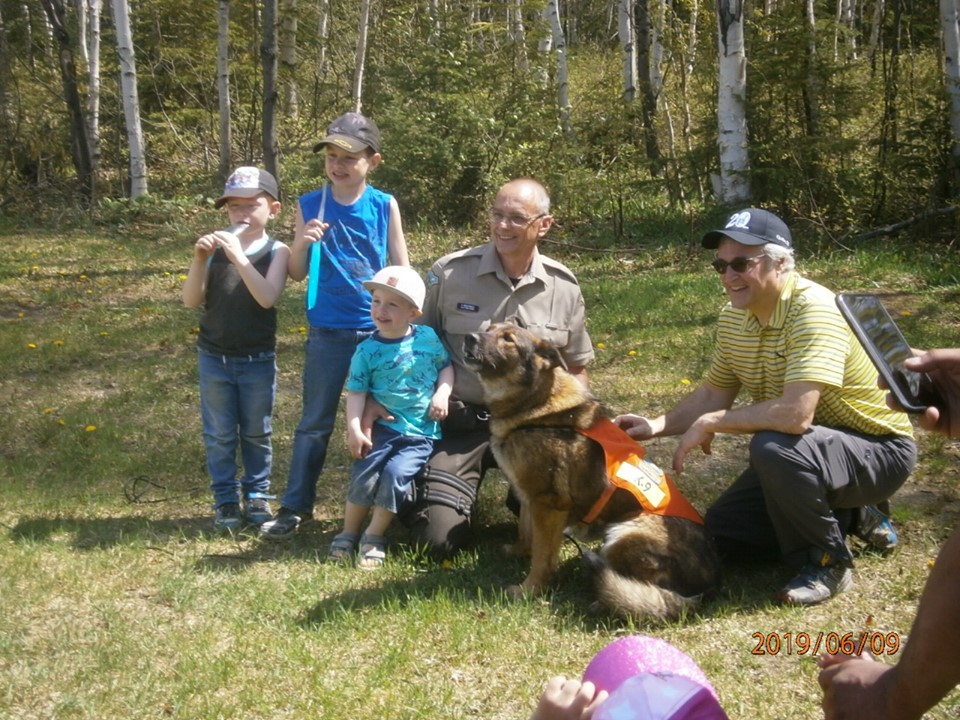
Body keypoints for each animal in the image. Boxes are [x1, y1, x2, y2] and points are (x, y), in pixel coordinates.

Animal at [460, 324, 720, 620]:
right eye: (487, 328)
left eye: (508, 339)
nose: (469, 337)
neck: (536, 405)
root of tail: (711, 584)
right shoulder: (529, 497)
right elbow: (526, 534)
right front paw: (517, 552)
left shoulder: (548, 505)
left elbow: (542, 557)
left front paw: (529, 590)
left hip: (623, 533)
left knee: (653, 593)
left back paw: (609, 600)